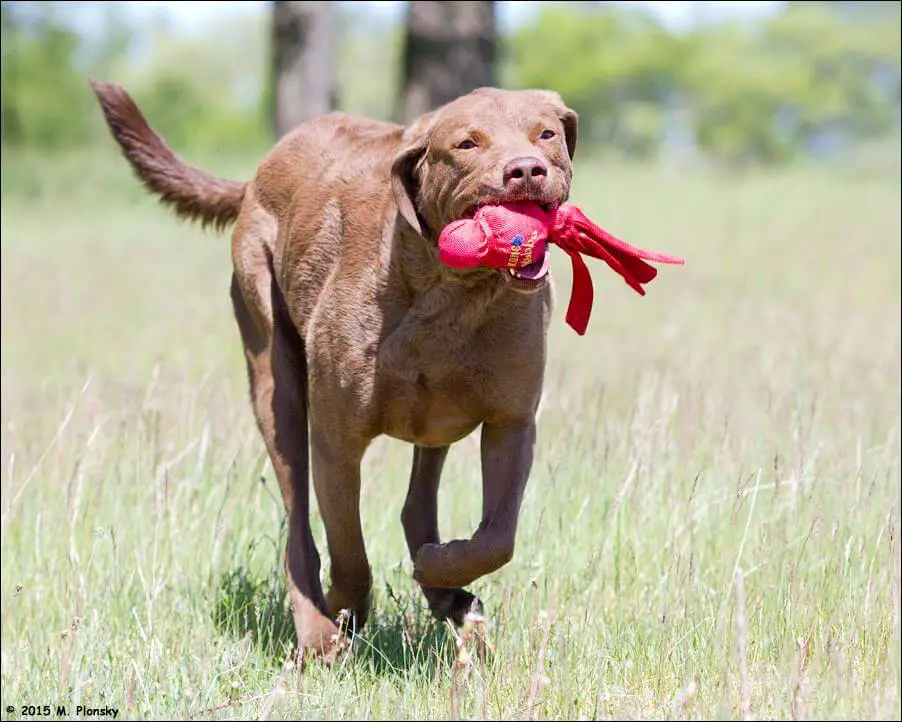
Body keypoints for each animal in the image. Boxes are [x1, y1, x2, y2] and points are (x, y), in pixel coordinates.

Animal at [90, 77, 580, 660]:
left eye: (546, 134)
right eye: (467, 143)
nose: (526, 170)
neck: (451, 295)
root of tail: (256, 176)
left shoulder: (512, 423)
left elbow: (496, 538)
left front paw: (441, 571)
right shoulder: (335, 440)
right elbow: (349, 549)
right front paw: (347, 610)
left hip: (432, 424)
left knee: (415, 507)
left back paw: (443, 593)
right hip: (275, 384)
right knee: (299, 528)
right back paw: (319, 633)